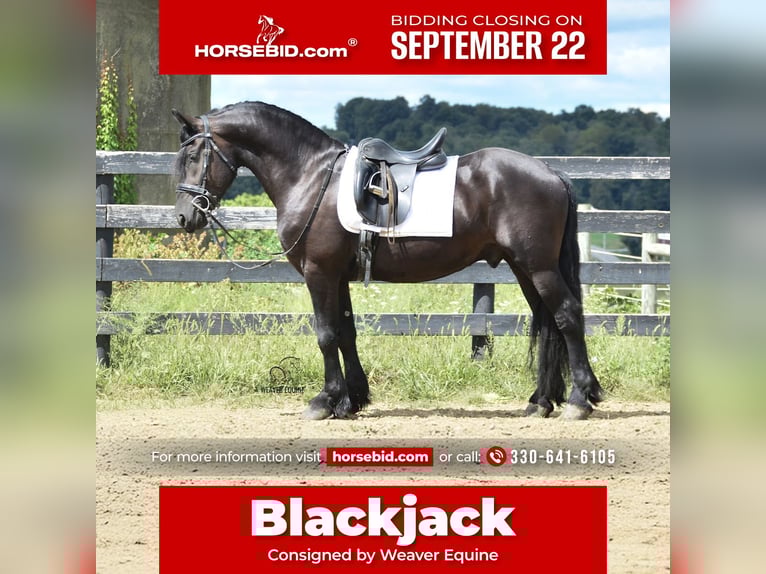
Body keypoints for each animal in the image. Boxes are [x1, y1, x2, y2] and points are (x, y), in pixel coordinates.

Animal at [172, 101, 604, 421]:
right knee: (547, 321)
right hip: (523, 267)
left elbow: (326, 334)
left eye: (193, 154)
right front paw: (351, 401)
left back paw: (579, 400)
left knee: (566, 316)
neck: (311, 176)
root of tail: (550, 173)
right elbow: (345, 333)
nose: (184, 217)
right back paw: (541, 401)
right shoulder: (337, 276)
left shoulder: (319, 273)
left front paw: (324, 401)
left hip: (538, 267)